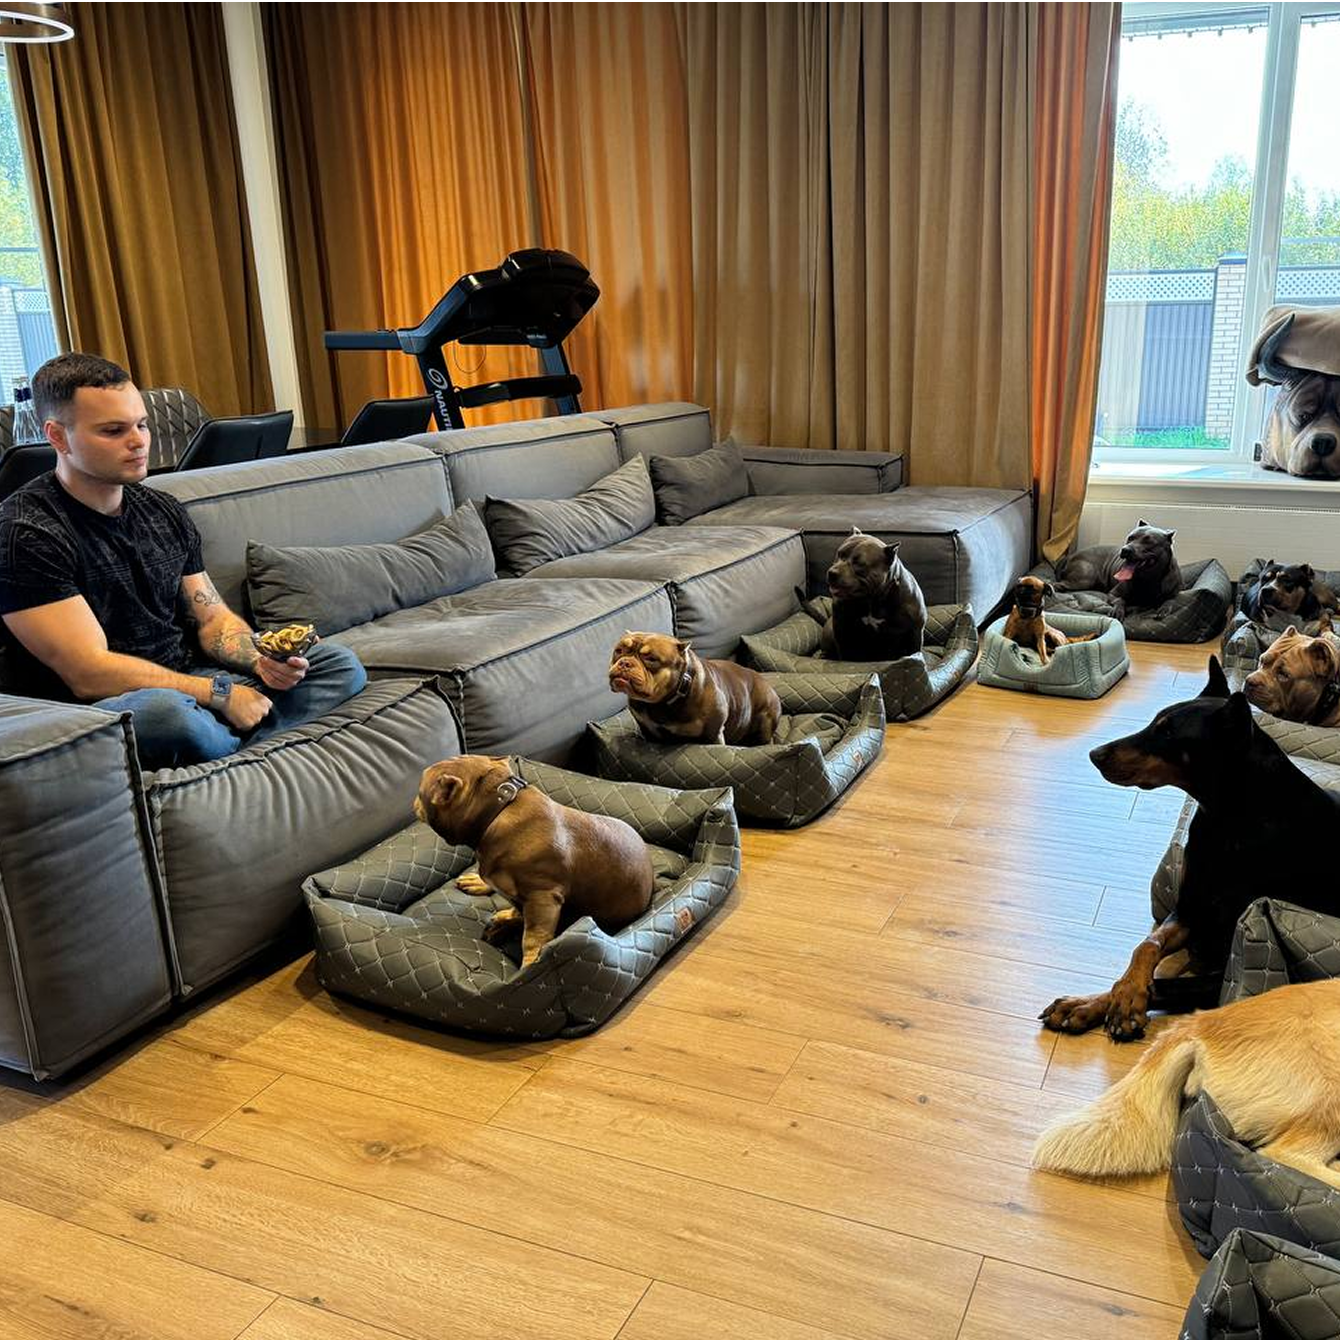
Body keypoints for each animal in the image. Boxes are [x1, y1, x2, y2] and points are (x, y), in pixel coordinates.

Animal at [414, 755, 654, 967]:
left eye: (420, 790)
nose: (413, 801)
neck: (498, 808)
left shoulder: (543, 898)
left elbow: (533, 938)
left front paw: (529, 964)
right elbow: (518, 910)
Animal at [608, 632, 782, 746]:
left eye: (651, 659)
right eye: (618, 651)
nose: (625, 663)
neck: (661, 702)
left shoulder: (713, 735)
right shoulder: (648, 730)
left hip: (766, 720)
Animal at [796, 527, 927, 661]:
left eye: (859, 563)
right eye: (839, 554)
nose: (832, 572)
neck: (872, 600)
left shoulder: (915, 632)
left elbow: (914, 651)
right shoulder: (842, 631)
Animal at [1038, 656, 1340, 1041]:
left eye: (1167, 734)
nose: (1095, 754)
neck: (1226, 817)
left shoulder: (1220, 966)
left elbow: (1161, 985)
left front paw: (1122, 1003)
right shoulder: (1191, 906)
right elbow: (1147, 944)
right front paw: (1092, 1001)